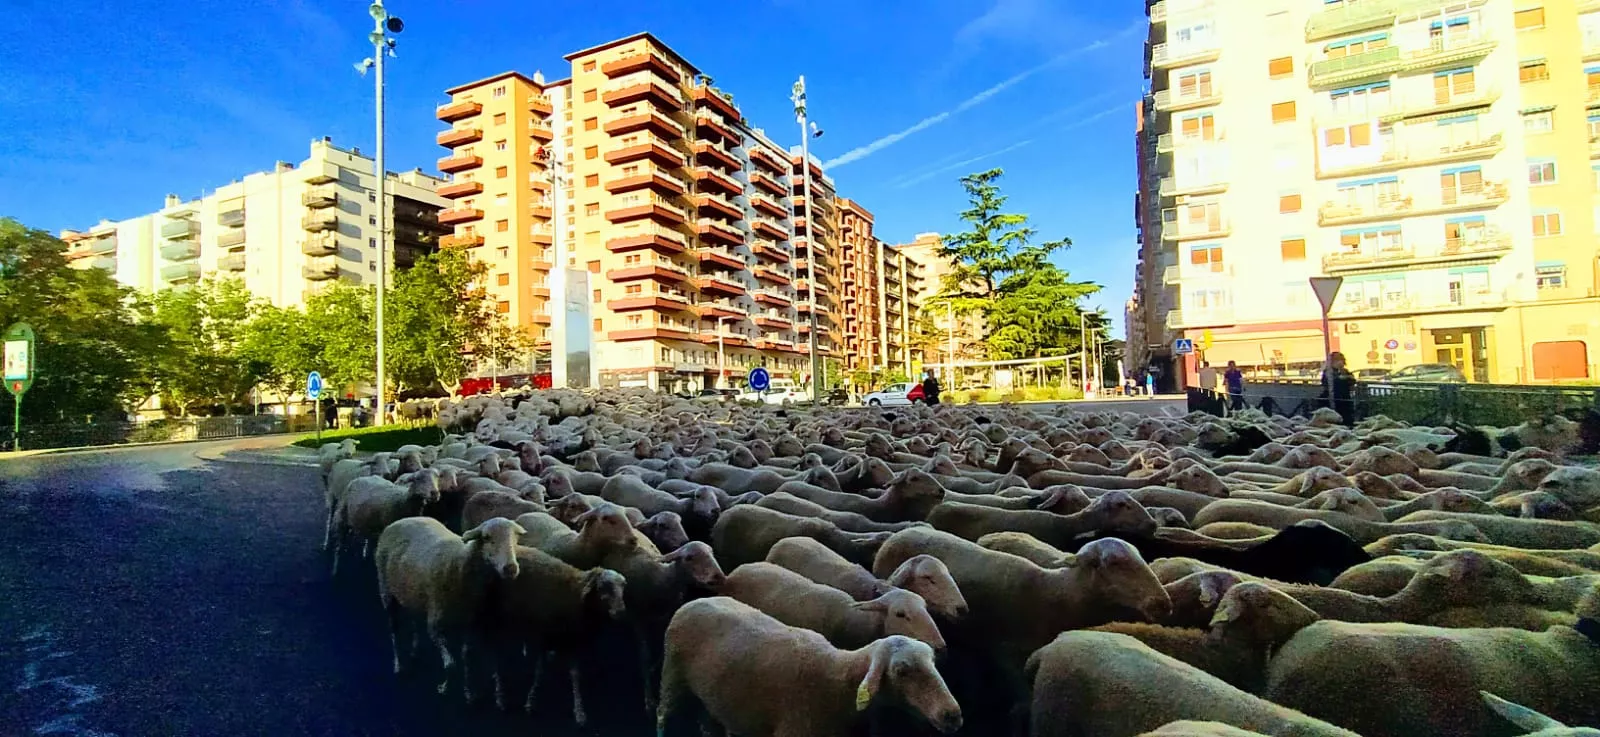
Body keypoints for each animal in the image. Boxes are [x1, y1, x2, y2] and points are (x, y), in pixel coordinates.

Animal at [373, 516, 524, 702]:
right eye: (487, 537)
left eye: (516, 537)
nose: (511, 568)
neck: (459, 565)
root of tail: (402, 520)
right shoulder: (435, 626)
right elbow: (450, 665)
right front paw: (444, 688)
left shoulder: (469, 623)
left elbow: (468, 658)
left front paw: (469, 692)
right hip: (386, 591)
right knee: (394, 630)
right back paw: (399, 665)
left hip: (412, 593)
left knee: (413, 619)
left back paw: (414, 651)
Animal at [657, 597, 963, 737]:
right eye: (902, 671)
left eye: (933, 663)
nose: (952, 715)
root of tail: (696, 600)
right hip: (672, 675)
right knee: (663, 714)